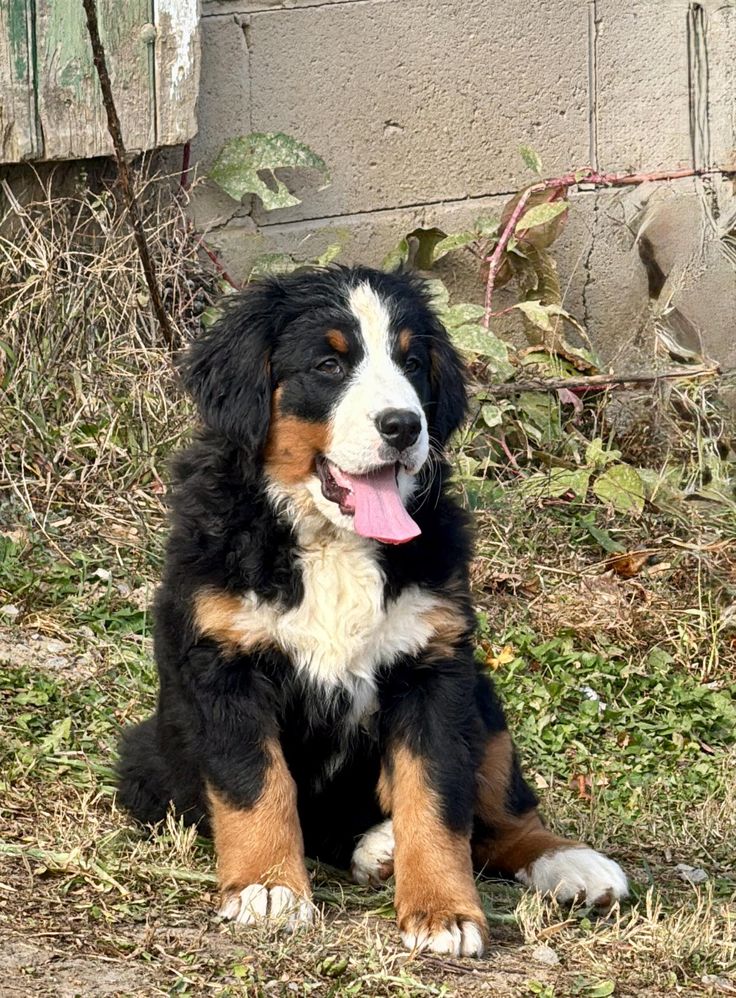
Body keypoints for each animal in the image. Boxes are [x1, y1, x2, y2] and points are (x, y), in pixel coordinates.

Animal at [116, 266, 628, 960]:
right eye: (330, 365)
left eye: (413, 363)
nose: (403, 426)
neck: (333, 541)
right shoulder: (222, 665)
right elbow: (257, 785)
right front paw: (269, 888)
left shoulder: (432, 667)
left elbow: (436, 800)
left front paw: (442, 911)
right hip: (150, 757)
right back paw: (374, 849)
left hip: (483, 701)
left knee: (497, 817)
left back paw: (569, 863)